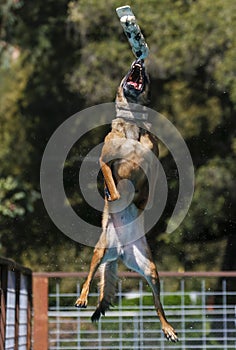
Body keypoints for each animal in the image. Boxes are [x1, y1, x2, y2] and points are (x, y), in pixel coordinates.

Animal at [74, 59, 178, 342]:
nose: (139, 60)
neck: (131, 126)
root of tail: (120, 252)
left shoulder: (153, 164)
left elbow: (148, 190)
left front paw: (142, 204)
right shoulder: (105, 162)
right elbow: (116, 188)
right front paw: (113, 195)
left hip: (150, 270)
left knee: (158, 304)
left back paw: (168, 328)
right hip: (100, 252)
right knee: (89, 276)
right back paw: (82, 297)